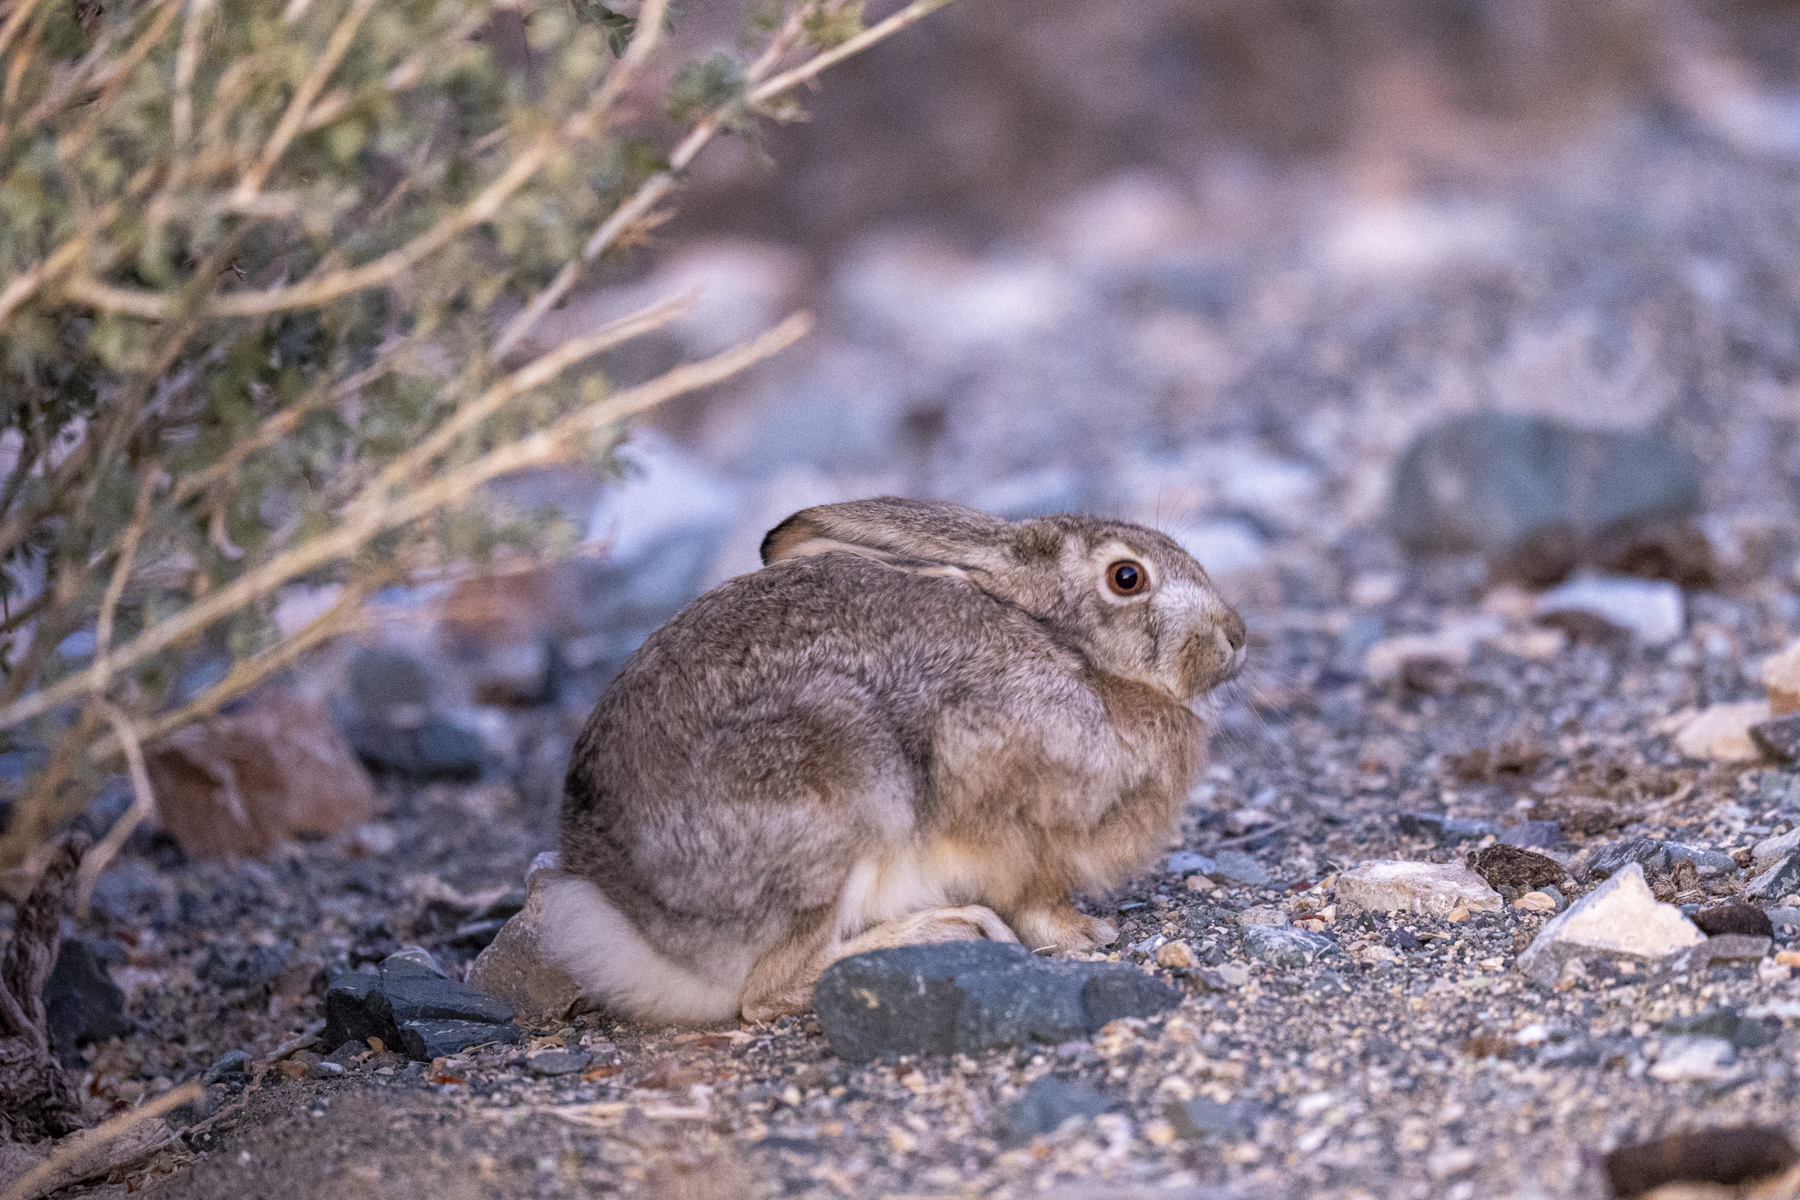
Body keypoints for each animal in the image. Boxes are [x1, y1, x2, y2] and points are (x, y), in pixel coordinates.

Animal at [538, 497, 1247, 1026]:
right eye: (1128, 578)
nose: (1237, 636)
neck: (1079, 658)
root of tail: (637, 926)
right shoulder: (1013, 814)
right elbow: (1037, 898)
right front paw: (1084, 936)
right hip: (830, 793)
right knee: (768, 990)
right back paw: (947, 931)